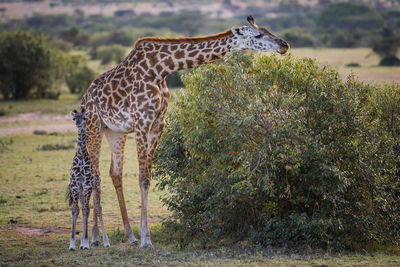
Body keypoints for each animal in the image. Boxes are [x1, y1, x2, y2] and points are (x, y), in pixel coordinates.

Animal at [68, 109, 110, 251]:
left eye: (84, 118)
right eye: (74, 118)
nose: (78, 123)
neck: (81, 157)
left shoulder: (87, 185)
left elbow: (87, 210)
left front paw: (85, 243)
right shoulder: (75, 185)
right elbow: (75, 210)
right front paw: (72, 244)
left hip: (96, 188)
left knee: (98, 208)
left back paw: (106, 242)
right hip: (81, 191)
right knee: (84, 208)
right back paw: (81, 242)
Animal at [82, 15, 288, 248]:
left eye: (266, 29)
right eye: (258, 35)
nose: (284, 45)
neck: (159, 69)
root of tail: (85, 96)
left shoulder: (157, 123)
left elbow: (147, 178)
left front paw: (142, 237)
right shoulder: (142, 122)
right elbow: (142, 176)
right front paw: (145, 238)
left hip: (115, 132)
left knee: (114, 173)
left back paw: (128, 236)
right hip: (94, 127)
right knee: (95, 175)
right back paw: (97, 238)